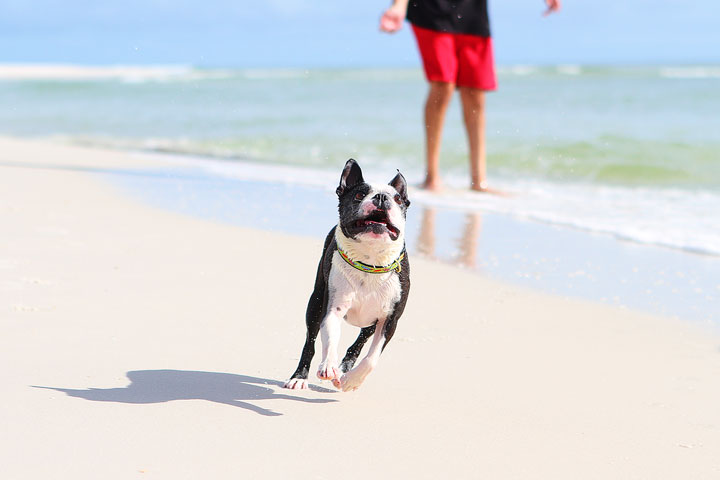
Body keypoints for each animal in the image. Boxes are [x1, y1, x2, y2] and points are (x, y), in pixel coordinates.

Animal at [286, 159, 410, 392]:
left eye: (398, 199)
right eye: (359, 195)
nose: (382, 197)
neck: (370, 262)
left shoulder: (390, 320)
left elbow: (372, 358)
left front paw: (351, 379)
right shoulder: (332, 309)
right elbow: (330, 340)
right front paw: (329, 367)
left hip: (372, 321)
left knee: (360, 341)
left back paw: (346, 368)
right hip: (316, 301)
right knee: (310, 341)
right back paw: (299, 377)